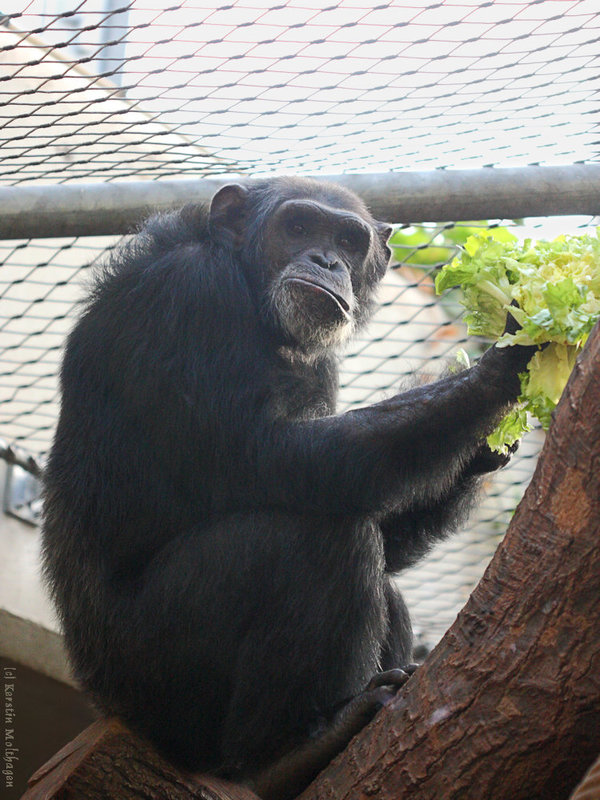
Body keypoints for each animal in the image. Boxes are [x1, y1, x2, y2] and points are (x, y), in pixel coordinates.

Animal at [42, 177, 536, 800]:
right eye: (297, 227)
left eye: (347, 240)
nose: (326, 260)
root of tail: (108, 707)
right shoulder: (189, 293)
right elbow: (266, 458)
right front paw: (503, 361)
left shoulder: (321, 368)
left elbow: (371, 510)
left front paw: (485, 444)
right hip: (155, 672)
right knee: (314, 540)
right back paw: (288, 753)